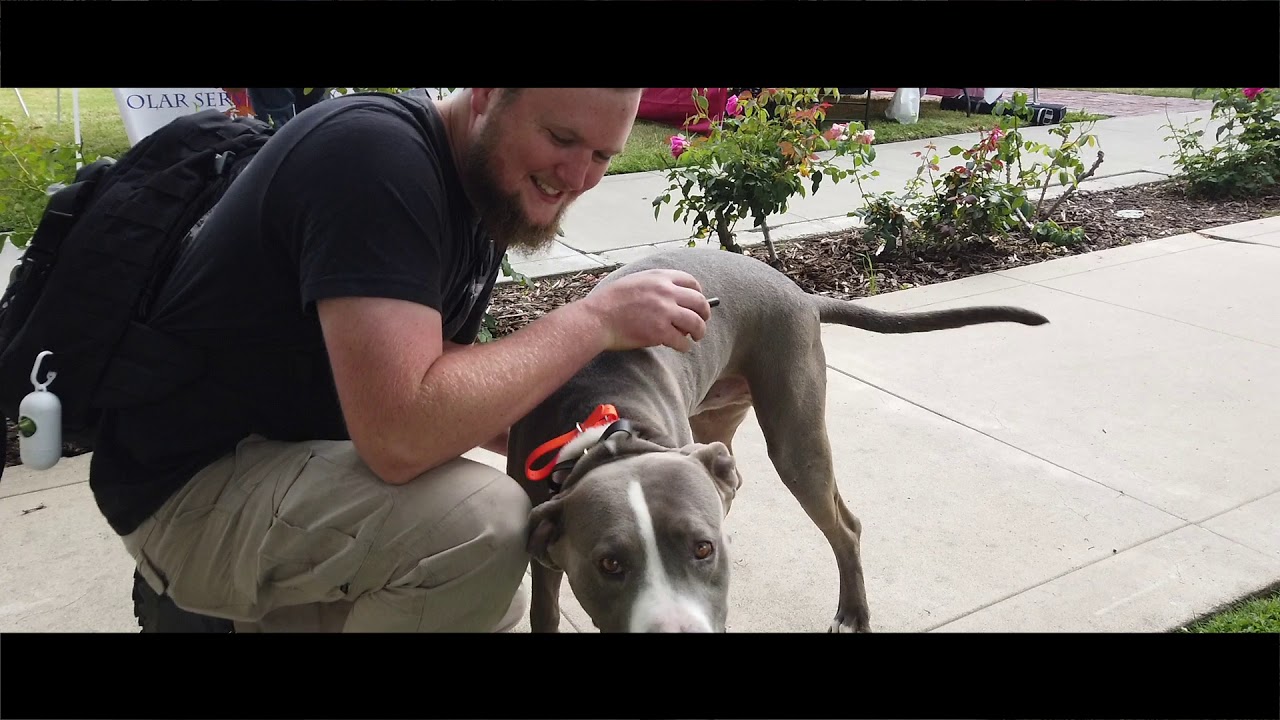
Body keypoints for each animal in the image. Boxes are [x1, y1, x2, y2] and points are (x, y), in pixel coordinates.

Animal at [501, 244, 1049, 627]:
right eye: (609, 564)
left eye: (702, 549)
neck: (601, 431)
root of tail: (800, 293)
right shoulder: (545, 556)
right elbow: (545, 612)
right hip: (718, 419)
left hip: (795, 439)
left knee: (845, 525)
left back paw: (854, 613)